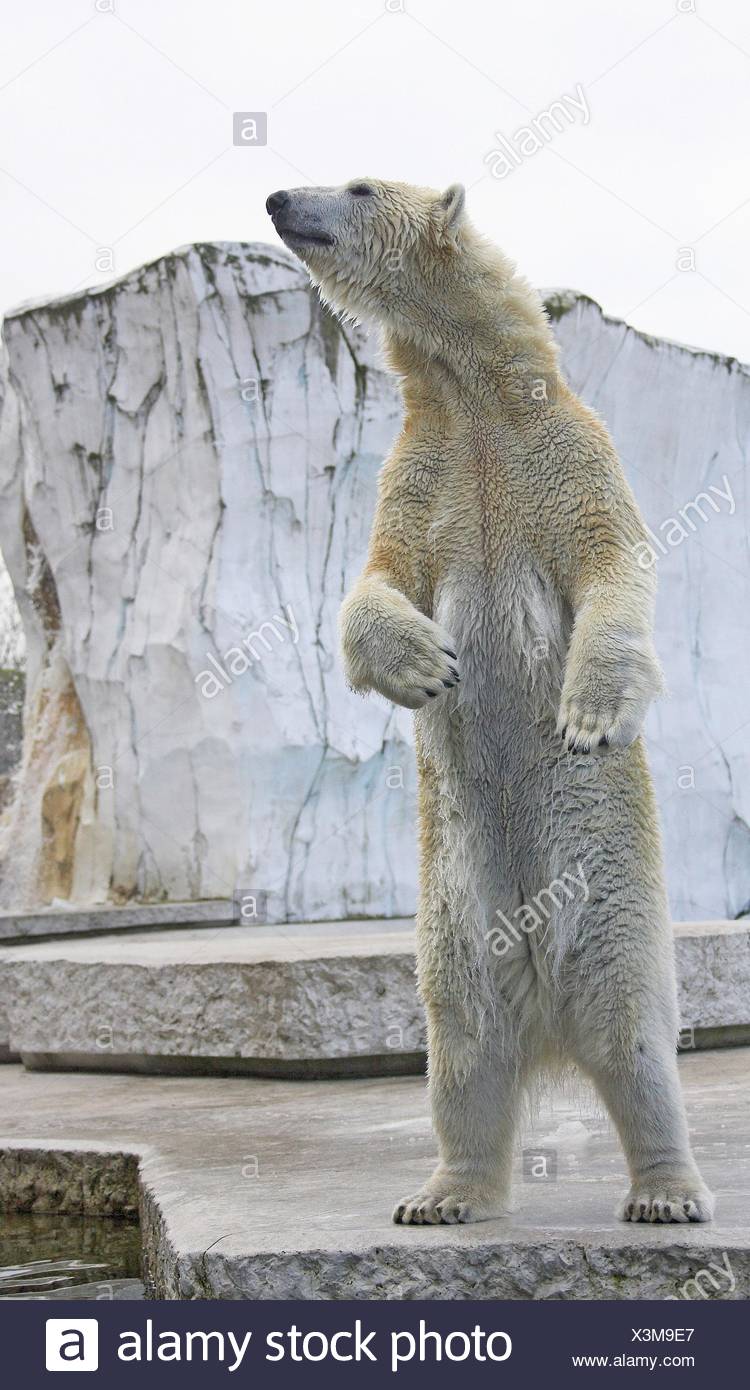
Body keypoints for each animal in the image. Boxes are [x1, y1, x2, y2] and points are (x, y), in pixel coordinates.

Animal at [267, 178, 714, 1226]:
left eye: (358, 185)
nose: (276, 197)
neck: (475, 394)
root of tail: (546, 1017)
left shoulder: (566, 454)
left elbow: (612, 565)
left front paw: (586, 715)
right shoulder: (421, 477)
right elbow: (377, 579)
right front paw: (429, 666)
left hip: (610, 899)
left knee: (634, 1032)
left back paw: (666, 1191)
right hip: (455, 915)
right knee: (462, 1045)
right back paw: (442, 1194)